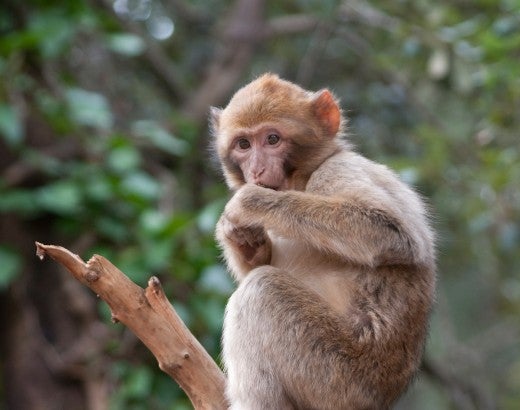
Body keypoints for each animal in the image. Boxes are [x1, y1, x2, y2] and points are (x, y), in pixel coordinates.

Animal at [210, 74, 434, 410]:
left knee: (260, 290)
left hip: (338, 378)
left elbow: (393, 233)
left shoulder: (336, 171)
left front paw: (250, 202)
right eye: (244, 144)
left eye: (272, 139)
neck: (303, 179)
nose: (257, 170)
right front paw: (237, 233)